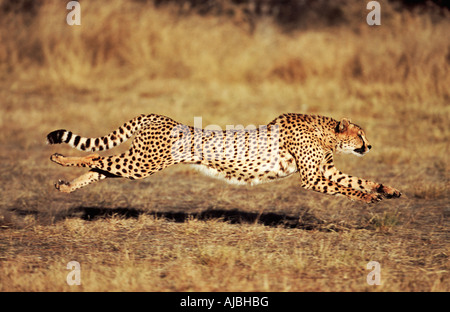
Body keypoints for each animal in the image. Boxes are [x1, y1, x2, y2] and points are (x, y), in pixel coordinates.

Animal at [47, 113, 400, 204]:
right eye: (360, 135)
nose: (369, 146)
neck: (325, 131)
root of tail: (156, 116)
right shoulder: (312, 178)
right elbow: (348, 188)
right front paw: (368, 198)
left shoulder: (325, 171)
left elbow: (357, 180)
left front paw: (387, 190)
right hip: (142, 164)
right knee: (94, 155)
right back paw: (59, 158)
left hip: (138, 164)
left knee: (99, 167)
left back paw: (65, 186)